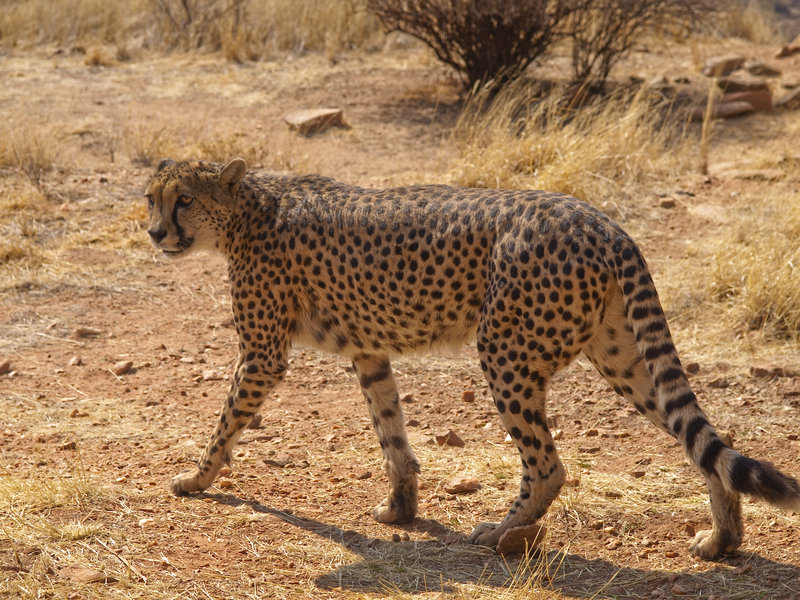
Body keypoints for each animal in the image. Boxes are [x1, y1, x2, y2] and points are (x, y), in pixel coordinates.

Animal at [145, 157, 800, 560]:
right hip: (618, 355)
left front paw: (195, 479)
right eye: (151, 200)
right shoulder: (368, 349)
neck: (249, 210)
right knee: (702, 438)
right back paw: (722, 539)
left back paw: (501, 531)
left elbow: (225, 423)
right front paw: (401, 508)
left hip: (505, 351)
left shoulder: (262, 355)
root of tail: (599, 218)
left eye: (185, 200)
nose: (154, 234)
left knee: (548, 465)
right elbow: (391, 431)